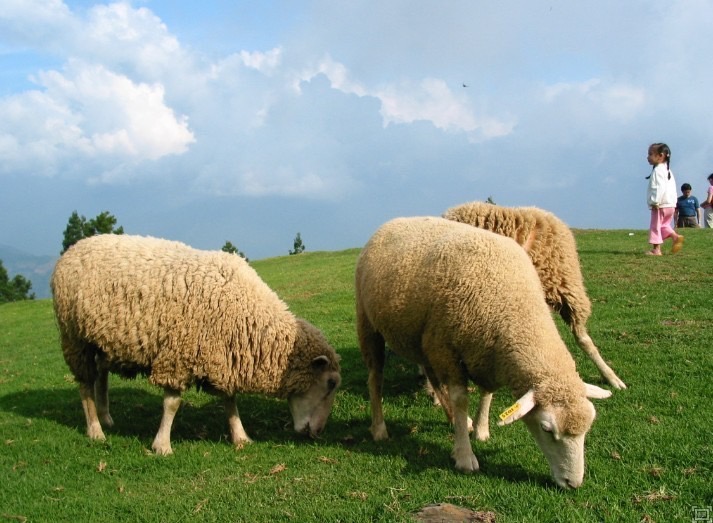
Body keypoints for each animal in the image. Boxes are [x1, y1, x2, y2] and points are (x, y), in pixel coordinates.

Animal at [51, 233, 340, 454]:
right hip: (75, 338)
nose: (317, 433)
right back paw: (95, 429)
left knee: (101, 375)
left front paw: (240, 436)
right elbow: (172, 404)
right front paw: (162, 445)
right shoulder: (179, 354)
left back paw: (106, 417)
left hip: (100, 340)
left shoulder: (223, 355)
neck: (244, 311)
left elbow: (230, 400)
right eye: (330, 383)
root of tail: (74, 247)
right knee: (86, 383)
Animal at [356, 218, 612, 492]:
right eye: (545, 428)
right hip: (370, 325)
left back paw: (454, 419)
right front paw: (464, 455)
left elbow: (487, 393)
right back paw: (380, 428)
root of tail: (392, 222)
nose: (573, 483)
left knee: (433, 381)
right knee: (375, 378)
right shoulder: (447, 350)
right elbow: (460, 399)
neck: (514, 307)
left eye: (588, 426)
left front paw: (480, 429)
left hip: (423, 340)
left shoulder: (486, 354)